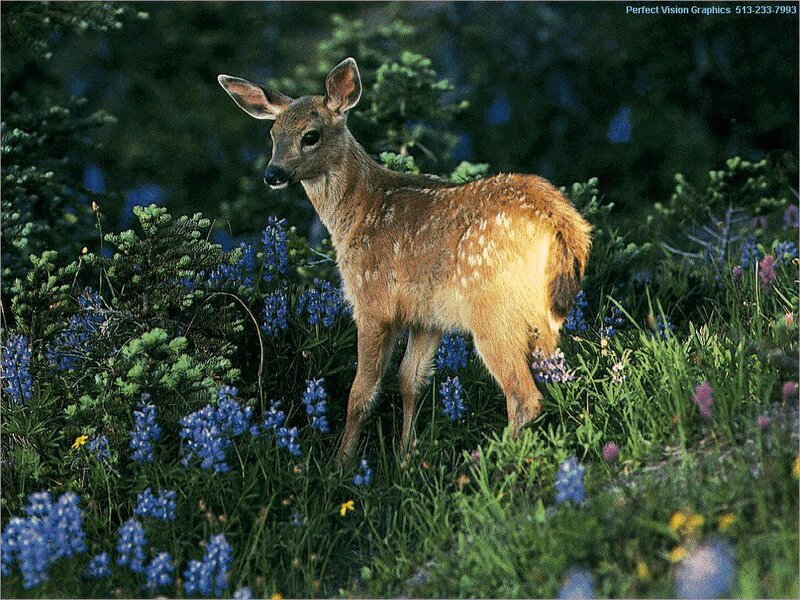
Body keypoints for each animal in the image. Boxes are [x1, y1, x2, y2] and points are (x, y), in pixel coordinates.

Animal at [218, 58, 592, 467]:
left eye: (310, 136)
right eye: (273, 134)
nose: (273, 174)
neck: (359, 212)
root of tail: (561, 221)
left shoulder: (372, 303)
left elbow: (361, 393)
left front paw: (341, 464)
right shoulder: (427, 317)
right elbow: (409, 380)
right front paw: (404, 456)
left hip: (493, 309)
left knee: (524, 395)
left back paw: (488, 460)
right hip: (542, 315)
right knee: (558, 380)